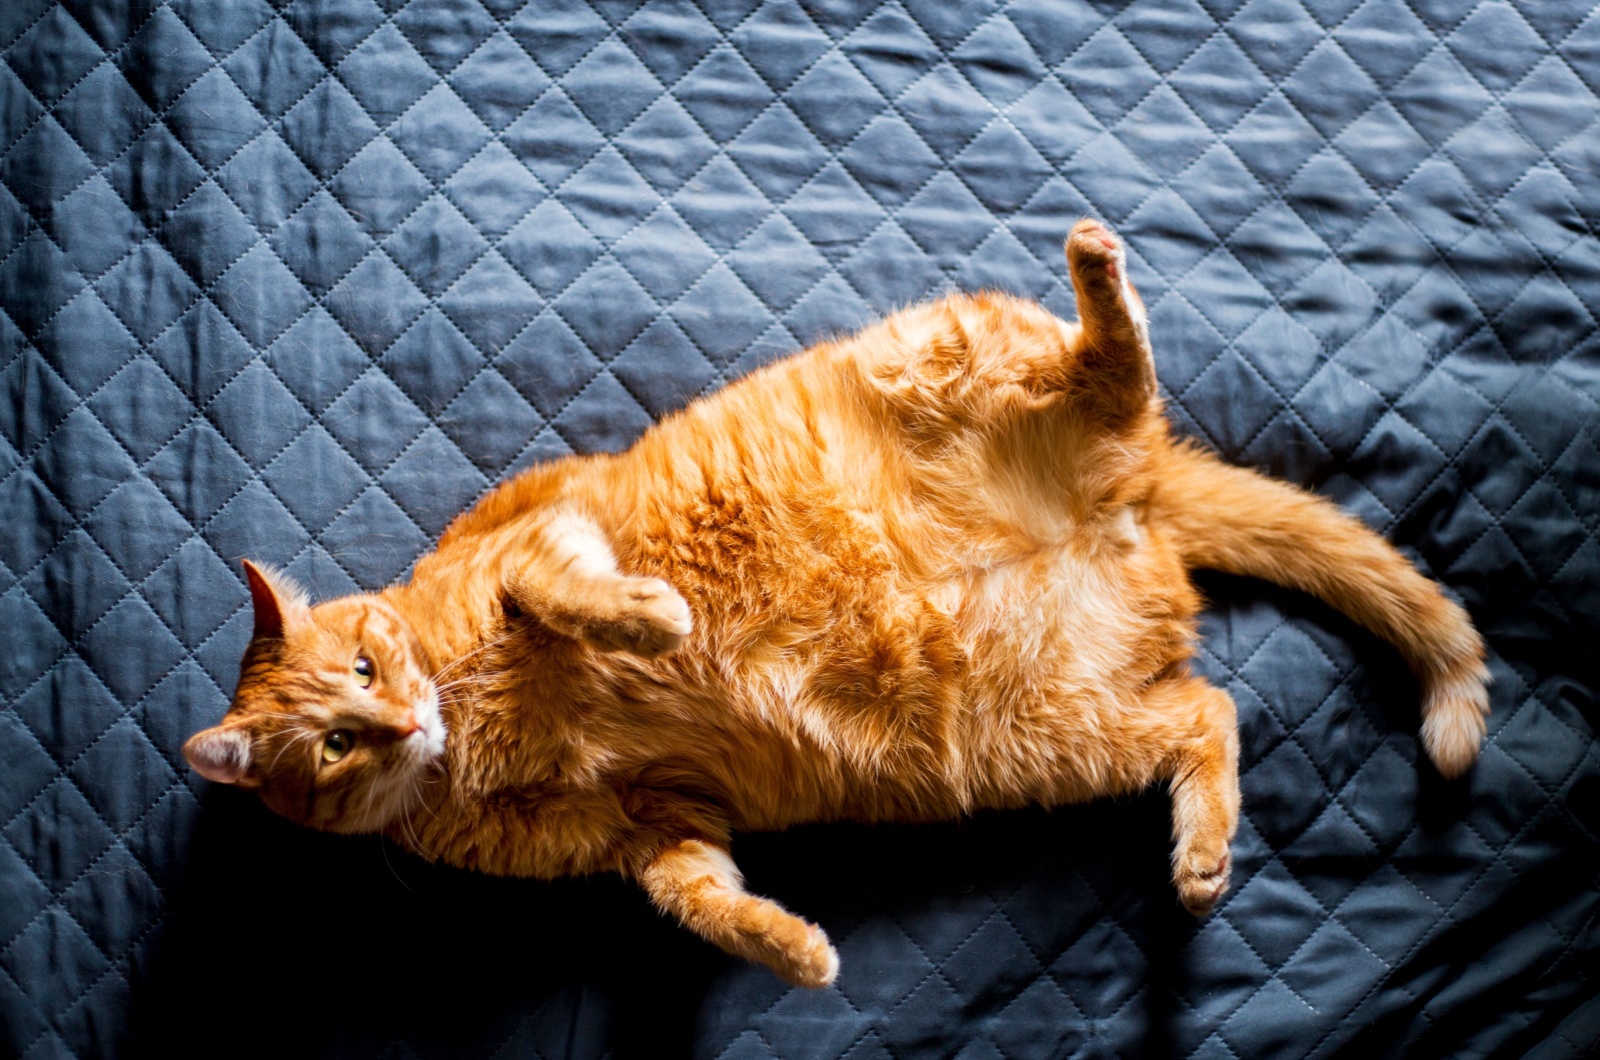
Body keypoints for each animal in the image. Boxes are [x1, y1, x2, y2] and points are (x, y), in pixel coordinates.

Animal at [184, 219, 1484, 992]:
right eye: (336, 744)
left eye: (364, 669)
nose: (402, 723)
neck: (470, 742)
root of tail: (1137, 500)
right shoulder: (658, 826)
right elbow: (699, 903)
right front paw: (795, 952)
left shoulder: (540, 528)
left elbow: (561, 586)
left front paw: (653, 622)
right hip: (1053, 737)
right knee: (1207, 714)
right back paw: (1202, 857)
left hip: (955, 351)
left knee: (1118, 367)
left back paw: (1096, 270)